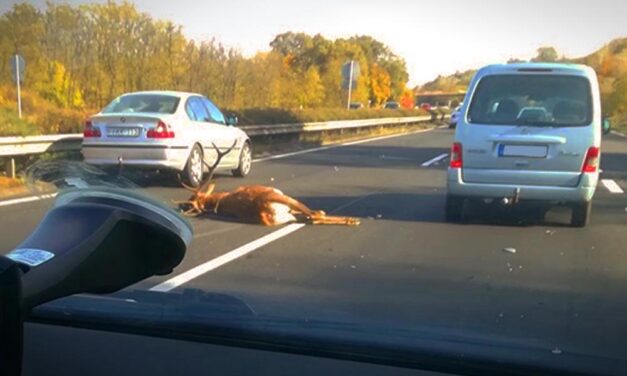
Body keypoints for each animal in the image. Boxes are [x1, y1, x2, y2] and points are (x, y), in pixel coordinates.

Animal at [174, 143, 360, 226]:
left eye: (190, 198)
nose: (182, 206)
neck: (219, 200)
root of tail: (264, 208)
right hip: (285, 198)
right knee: (314, 215)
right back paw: (352, 219)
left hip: (287, 211)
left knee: (311, 217)